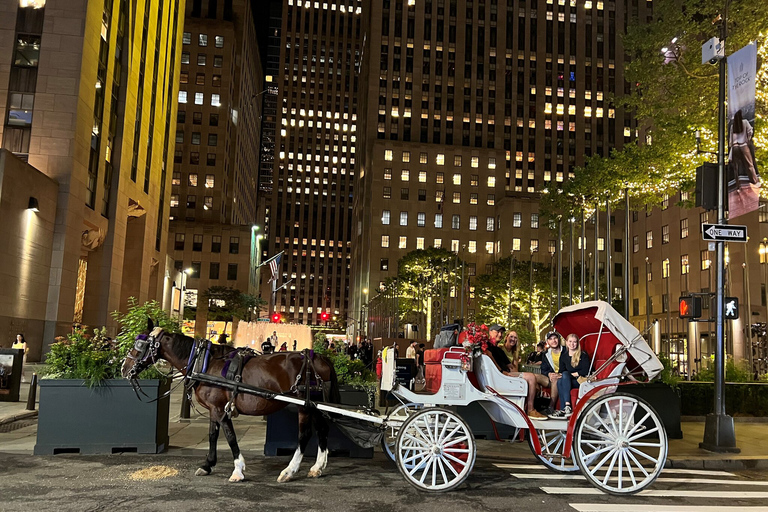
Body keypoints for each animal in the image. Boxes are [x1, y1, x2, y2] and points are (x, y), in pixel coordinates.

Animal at [120, 322, 340, 486]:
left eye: (139, 346)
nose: (124, 368)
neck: (204, 364)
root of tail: (319, 357)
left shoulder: (220, 409)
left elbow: (230, 436)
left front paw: (238, 470)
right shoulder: (213, 409)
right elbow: (212, 435)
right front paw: (208, 464)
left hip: (304, 405)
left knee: (305, 435)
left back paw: (289, 471)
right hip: (315, 406)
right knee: (322, 430)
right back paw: (317, 468)